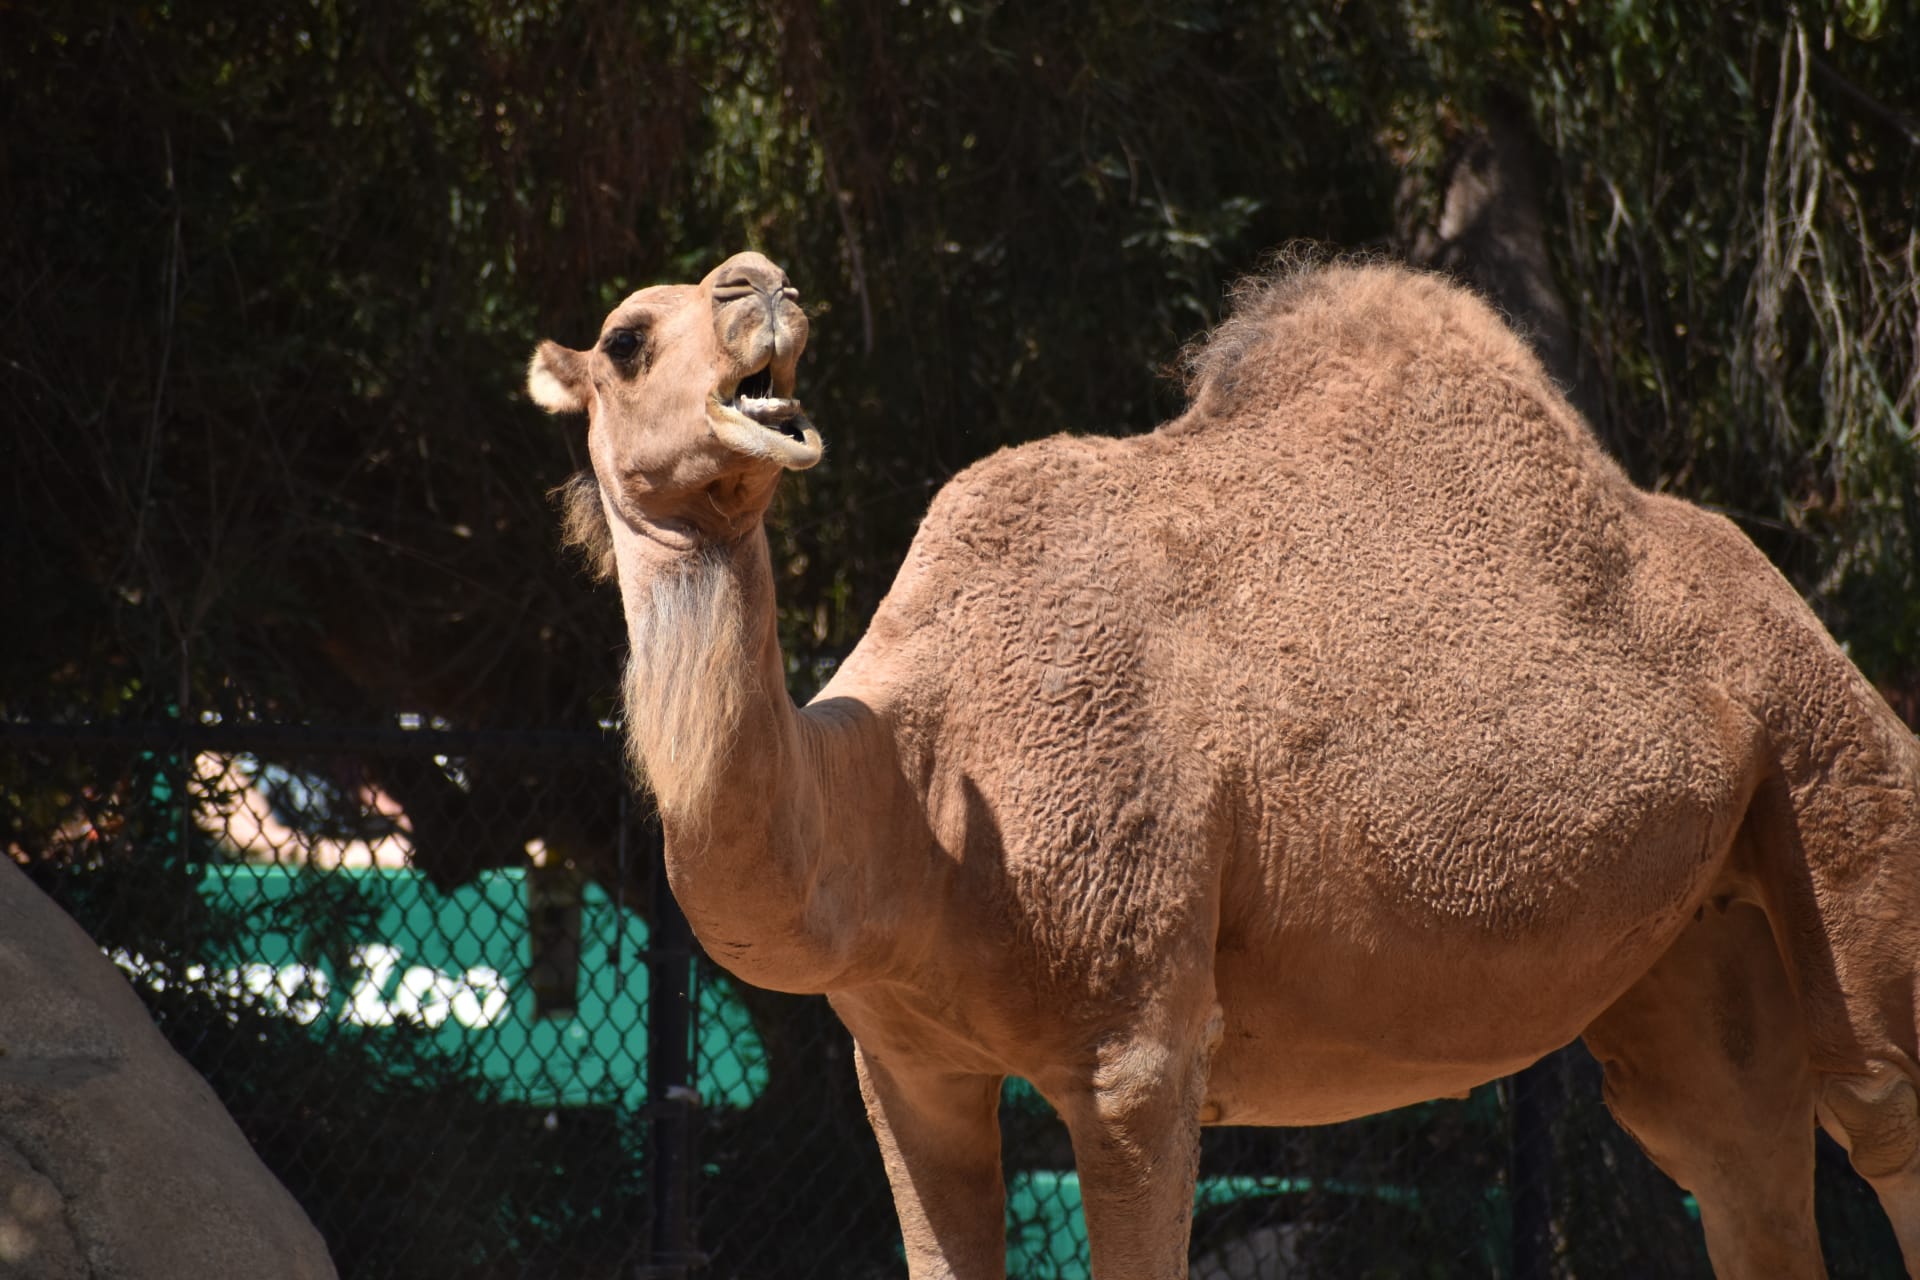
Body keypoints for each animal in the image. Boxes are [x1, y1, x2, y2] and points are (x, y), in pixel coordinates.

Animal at [525, 251, 1920, 1278]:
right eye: (627, 338)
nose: (759, 283)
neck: (920, 804)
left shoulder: (1136, 1049)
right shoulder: (905, 1069)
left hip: (1827, 767)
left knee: (1878, 1101)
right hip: (1696, 937)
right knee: (1737, 1152)